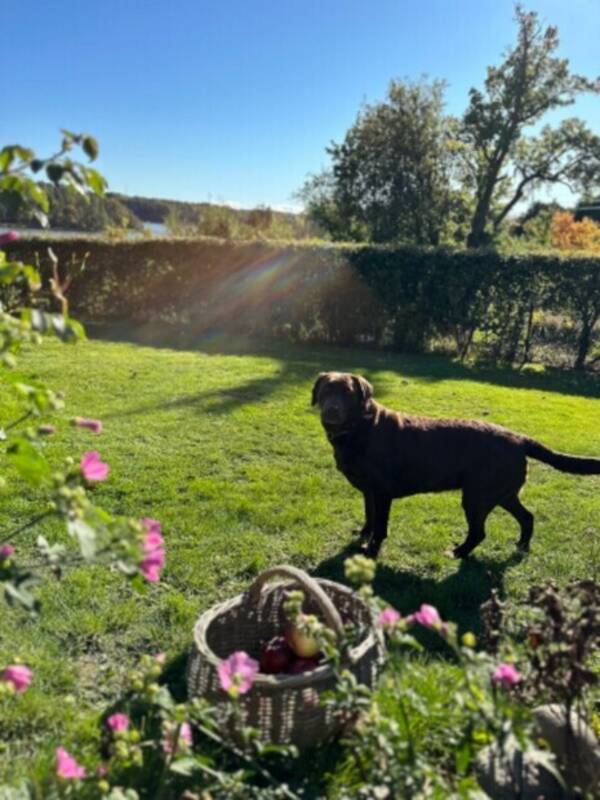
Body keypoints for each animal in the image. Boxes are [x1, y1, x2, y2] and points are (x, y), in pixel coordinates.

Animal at [314, 372, 600, 560]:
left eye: (348, 393)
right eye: (326, 391)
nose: (332, 410)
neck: (360, 427)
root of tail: (519, 439)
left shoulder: (382, 493)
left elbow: (380, 527)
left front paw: (371, 551)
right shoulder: (369, 492)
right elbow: (370, 518)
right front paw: (362, 536)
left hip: (476, 497)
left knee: (479, 533)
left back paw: (458, 552)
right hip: (502, 494)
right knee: (527, 517)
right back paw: (521, 545)